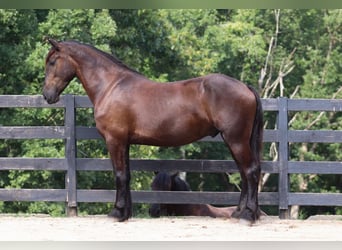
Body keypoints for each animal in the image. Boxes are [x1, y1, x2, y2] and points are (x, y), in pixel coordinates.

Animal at [42, 39, 264, 225]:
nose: (46, 95)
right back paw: (239, 212)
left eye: (52, 62)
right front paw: (125, 213)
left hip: (236, 140)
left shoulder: (115, 140)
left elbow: (119, 175)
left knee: (251, 171)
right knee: (244, 173)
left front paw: (117, 213)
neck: (111, 86)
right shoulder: (125, 142)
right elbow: (127, 175)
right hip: (234, 141)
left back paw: (247, 215)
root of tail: (245, 87)